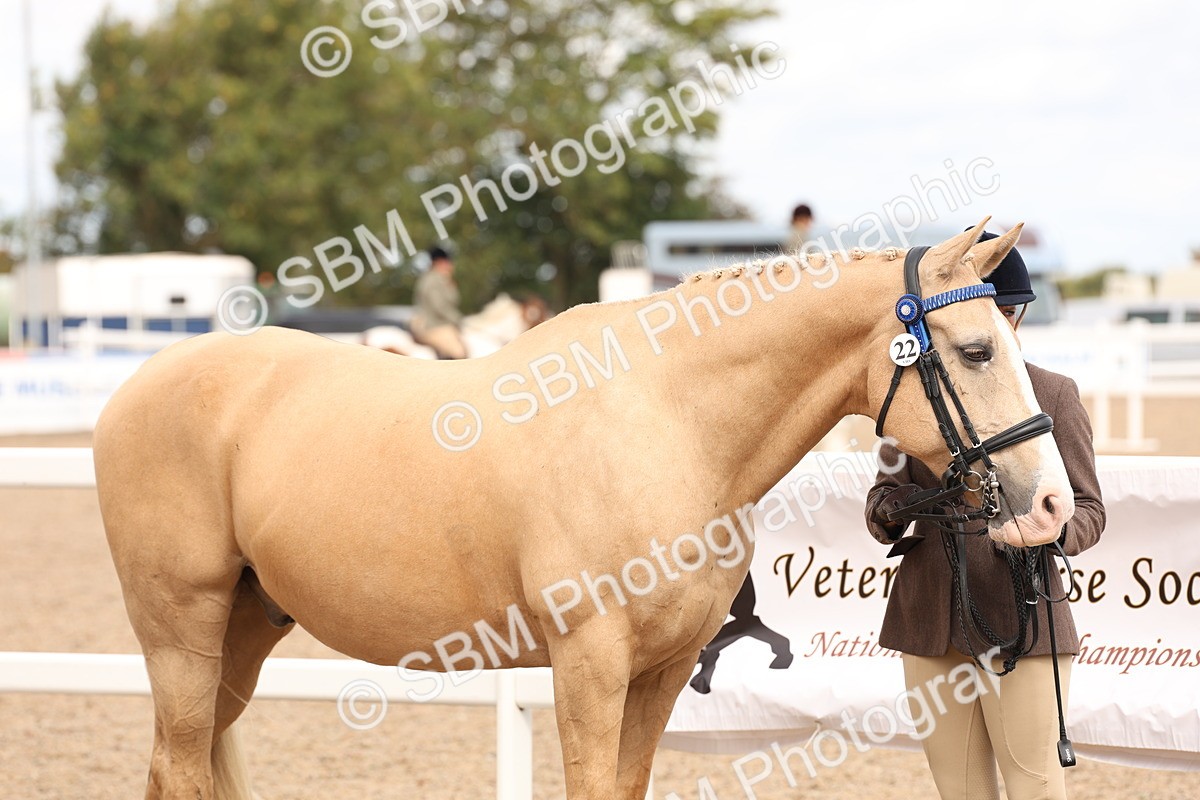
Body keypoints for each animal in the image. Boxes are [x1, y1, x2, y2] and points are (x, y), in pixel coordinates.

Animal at [93, 220, 1074, 799]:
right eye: (978, 349)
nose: (1052, 504)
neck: (667, 419)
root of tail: (136, 385)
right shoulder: (589, 666)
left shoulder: (664, 670)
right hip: (181, 631)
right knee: (178, 766)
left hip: (244, 630)